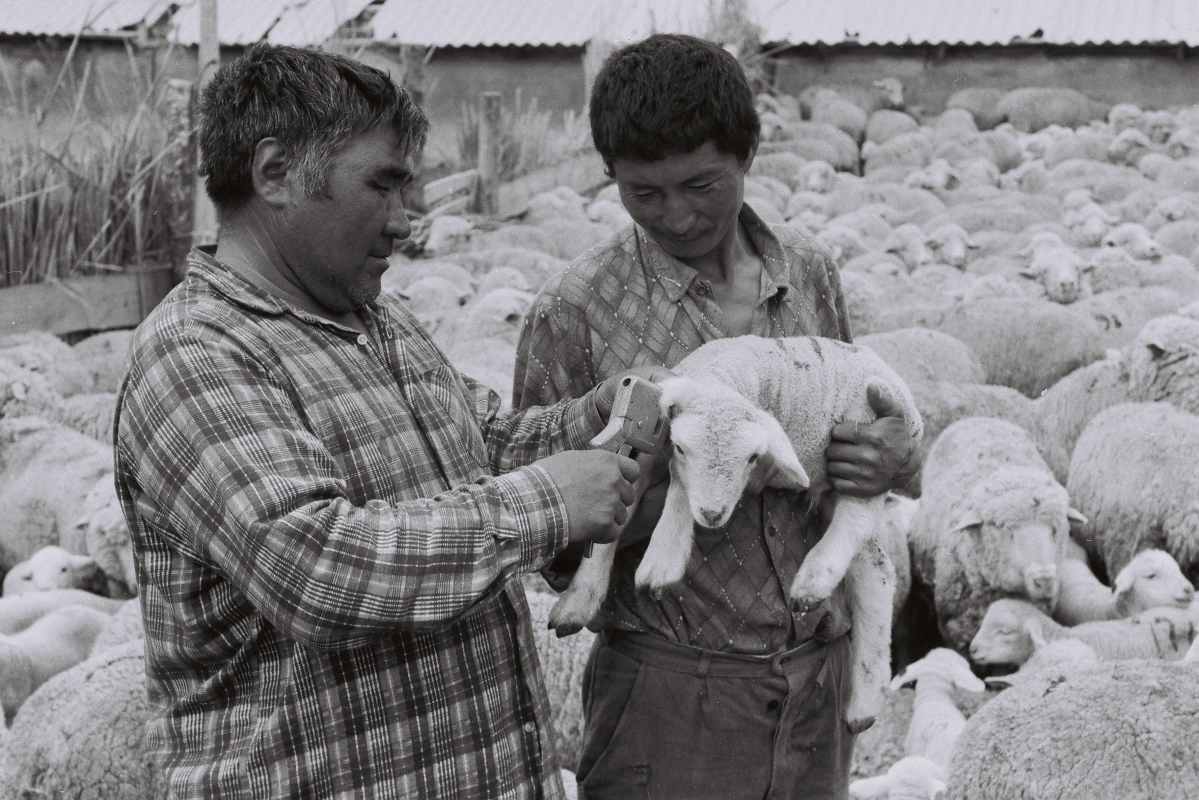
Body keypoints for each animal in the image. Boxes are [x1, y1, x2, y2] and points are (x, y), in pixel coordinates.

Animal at [549, 335, 920, 734]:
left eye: (753, 458)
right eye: (681, 447)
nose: (713, 514)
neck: (721, 375)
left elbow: (677, 493)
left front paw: (661, 562)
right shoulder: (649, 451)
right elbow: (624, 510)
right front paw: (579, 599)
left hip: (861, 454)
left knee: (857, 518)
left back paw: (813, 582)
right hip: (830, 487)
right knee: (877, 571)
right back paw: (864, 701)